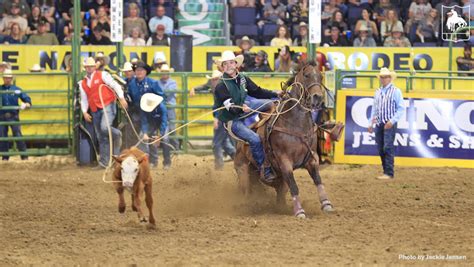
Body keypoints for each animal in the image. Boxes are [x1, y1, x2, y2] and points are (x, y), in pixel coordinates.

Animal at [234, 61, 334, 220]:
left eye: (320, 76)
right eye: (307, 75)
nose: (317, 97)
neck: (295, 124)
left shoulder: (312, 159)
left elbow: (318, 180)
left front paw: (326, 204)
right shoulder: (285, 161)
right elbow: (294, 186)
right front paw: (300, 212)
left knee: (280, 194)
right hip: (243, 170)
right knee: (246, 191)